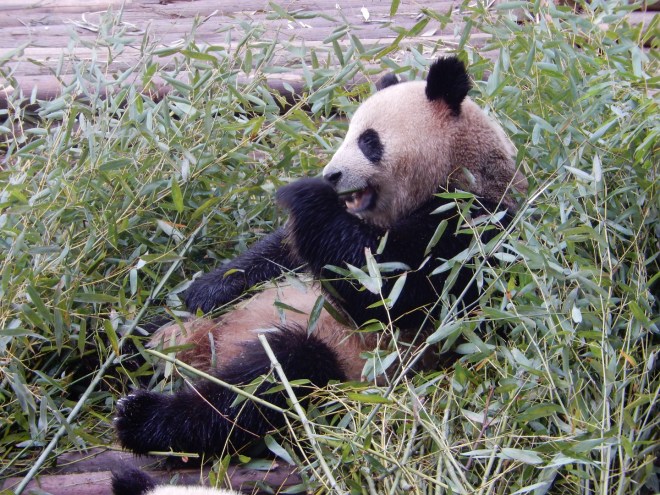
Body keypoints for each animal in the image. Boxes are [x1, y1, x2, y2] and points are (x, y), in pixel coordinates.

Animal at [113, 56, 527, 458]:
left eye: (368, 141)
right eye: (346, 133)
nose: (332, 175)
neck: (461, 168)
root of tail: (205, 350)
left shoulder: (473, 230)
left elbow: (390, 291)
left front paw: (305, 192)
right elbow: (278, 256)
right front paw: (205, 291)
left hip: (340, 356)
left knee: (268, 380)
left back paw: (142, 416)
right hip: (191, 325)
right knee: (141, 333)